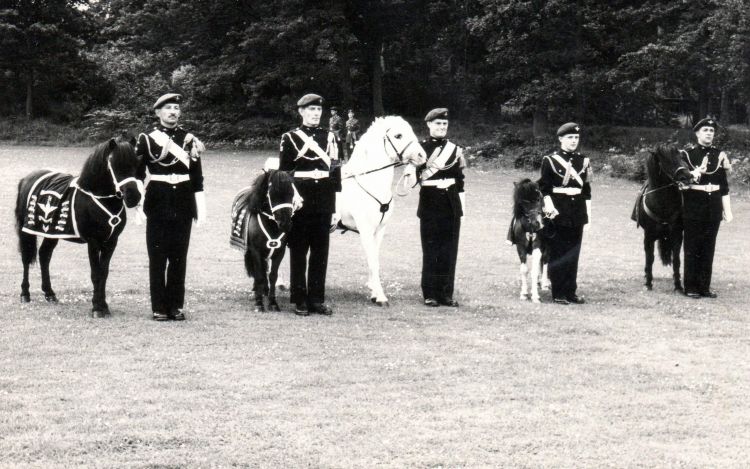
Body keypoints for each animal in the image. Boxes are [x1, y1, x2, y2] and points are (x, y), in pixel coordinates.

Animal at [15, 137, 143, 317]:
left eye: (135, 163)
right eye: (114, 164)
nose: (133, 197)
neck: (97, 198)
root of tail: (27, 178)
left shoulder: (111, 241)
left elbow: (104, 273)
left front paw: (104, 306)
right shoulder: (93, 241)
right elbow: (96, 274)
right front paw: (97, 308)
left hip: (51, 233)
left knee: (44, 255)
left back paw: (50, 294)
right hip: (26, 231)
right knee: (27, 258)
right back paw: (25, 294)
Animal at [230, 169, 295, 312]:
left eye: (292, 193)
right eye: (272, 193)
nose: (285, 224)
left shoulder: (279, 252)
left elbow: (273, 276)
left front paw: (273, 303)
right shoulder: (255, 252)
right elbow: (259, 275)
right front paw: (259, 303)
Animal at [334, 116, 427, 306]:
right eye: (398, 135)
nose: (422, 156)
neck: (369, 183)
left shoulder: (380, 230)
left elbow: (375, 258)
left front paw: (373, 291)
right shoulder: (365, 230)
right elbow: (372, 261)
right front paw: (380, 296)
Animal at [631, 143, 695, 291]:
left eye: (682, 157)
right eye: (666, 161)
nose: (688, 176)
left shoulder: (677, 234)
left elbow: (676, 259)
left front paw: (678, 285)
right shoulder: (648, 235)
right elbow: (650, 258)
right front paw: (648, 282)